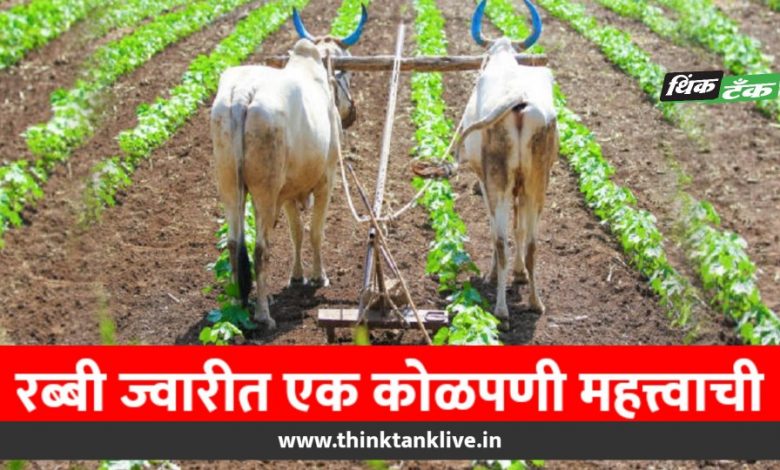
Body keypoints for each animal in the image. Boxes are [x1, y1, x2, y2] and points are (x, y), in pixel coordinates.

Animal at [210, 7, 367, 330]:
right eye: (348, 72)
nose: (351, 114)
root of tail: (242, 94)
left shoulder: (288, 193)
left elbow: (297, 232)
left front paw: (297, 276)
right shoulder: (326, 180)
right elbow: (315, 231)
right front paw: (319, 276)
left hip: (230, 186)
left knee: (234, 244)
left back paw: (239, 307)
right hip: (265, 191)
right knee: (260, 249)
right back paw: (263, 315)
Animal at [456, 0, 559, 319]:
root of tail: (518, 100)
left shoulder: (484, 180)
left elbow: (496, 230)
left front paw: (493, 275)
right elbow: (520, 228)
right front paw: (520, 274)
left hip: (498, 182)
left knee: (501, 240)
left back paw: (500, 309)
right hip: (538, 183)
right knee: (533, 243)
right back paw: (536, 302)